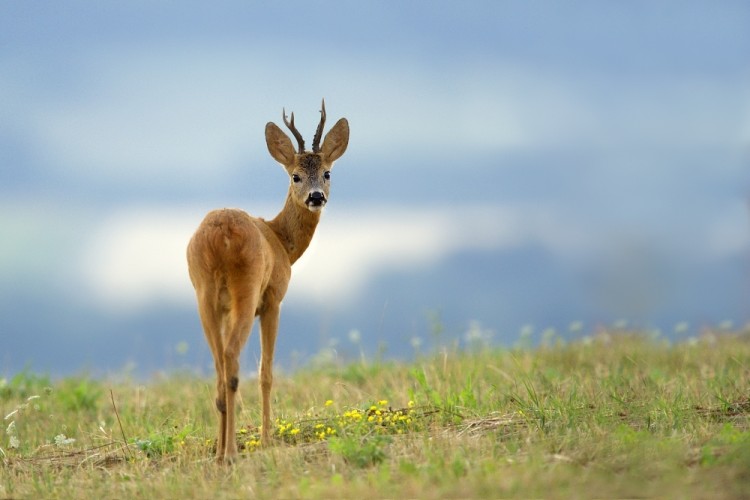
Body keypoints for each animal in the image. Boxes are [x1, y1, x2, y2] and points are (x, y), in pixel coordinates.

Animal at [188, 101, 352, 464]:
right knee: (232, 362)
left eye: (327, 172)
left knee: (219, 367)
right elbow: (266, 373)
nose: (316, 197)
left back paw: (220, 452)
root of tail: (219, 238)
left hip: (204, 296)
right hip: (246, 292)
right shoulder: (274, 300)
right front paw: (266, 439)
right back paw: (231, 453)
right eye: (295, 175)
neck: (281, 242)